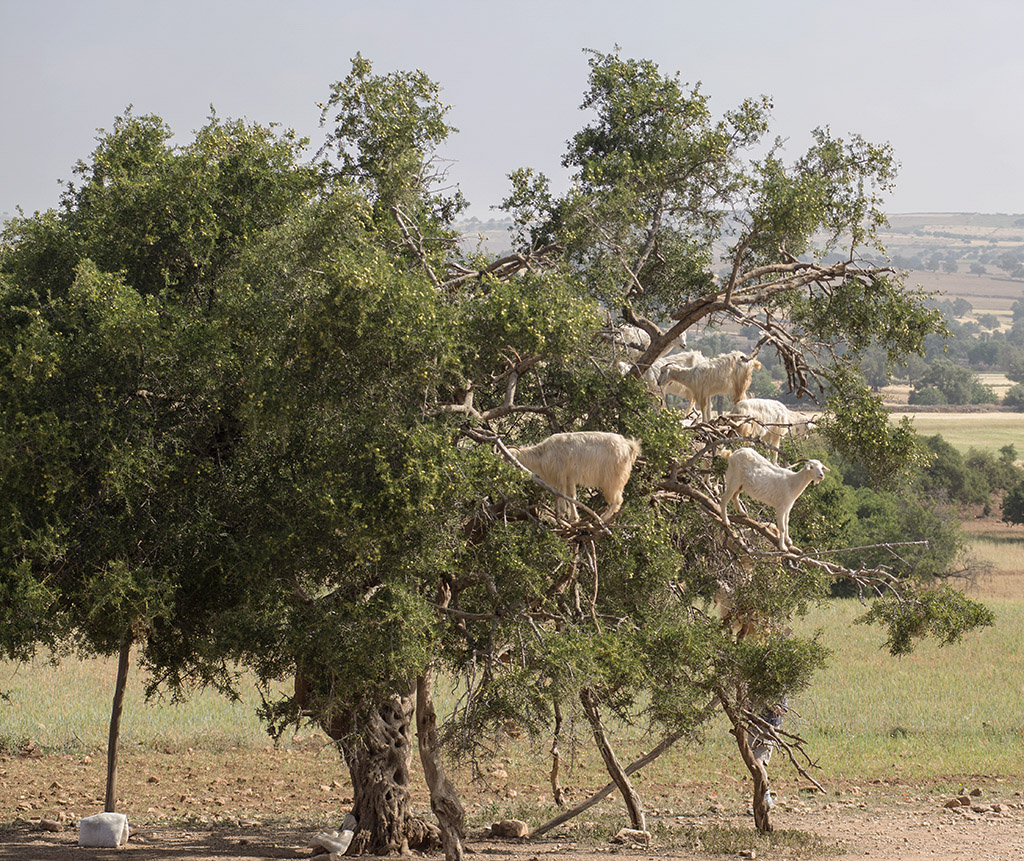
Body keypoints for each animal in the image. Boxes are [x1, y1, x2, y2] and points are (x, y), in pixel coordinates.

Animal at [509, 434, 643, 520]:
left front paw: (562, 514)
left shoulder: (562, 475)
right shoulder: (570, 478)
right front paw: (573, 518)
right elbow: (571, 497)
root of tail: (629, 446)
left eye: (509, 458)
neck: (544, 454)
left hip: (613, 481)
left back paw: (601, 520)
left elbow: (563, 494)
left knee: (617, 501)